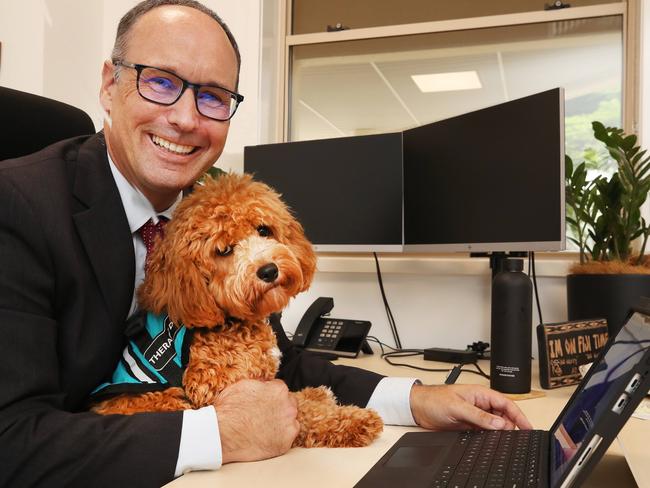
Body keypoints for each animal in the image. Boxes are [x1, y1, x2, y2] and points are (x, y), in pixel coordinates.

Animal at [91, 173, 380, 448]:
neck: (232, 322)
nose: (269, 270)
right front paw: (354, 419)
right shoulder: (216, 389)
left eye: (263, 229)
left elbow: (296, 393)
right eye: (224, 250)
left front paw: (316, 393)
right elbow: (299, 410)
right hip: (169, 400)